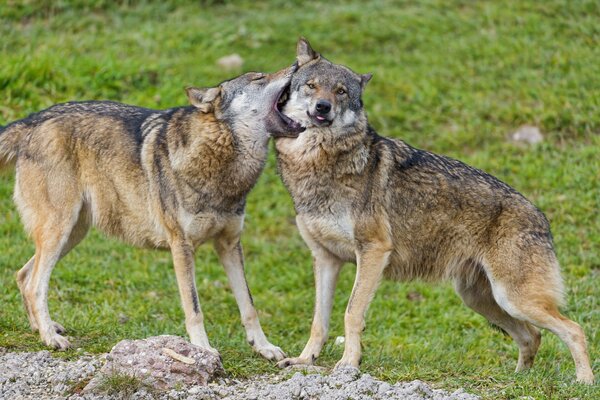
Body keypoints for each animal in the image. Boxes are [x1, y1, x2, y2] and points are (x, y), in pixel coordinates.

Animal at [0, 65, 302, 360]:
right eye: (259, 78)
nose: (297, 65)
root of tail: (34, 119)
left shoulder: (229, 244)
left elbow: (249, 306)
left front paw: (264, 347)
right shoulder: (181, 246)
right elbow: (194, 308)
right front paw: (203, 349)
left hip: (73, 234)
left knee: (23, 276)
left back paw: (44, 329)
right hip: (59, 232)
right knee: (36, 284)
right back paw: (51, 338)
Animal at [268, 38, 596, 384]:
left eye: (341, 91)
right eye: (312, 86)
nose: (323, 107)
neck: (317, 164)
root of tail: (542, 216)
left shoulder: (372, 251)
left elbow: (351, 313)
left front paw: (348, 365)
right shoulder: (325, 259)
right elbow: (319, 321)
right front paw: (304, 360)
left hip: (513, 299)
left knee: (573, 329)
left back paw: (584, 381)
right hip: (482, 299)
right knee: (532, 336)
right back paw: (517, 380)